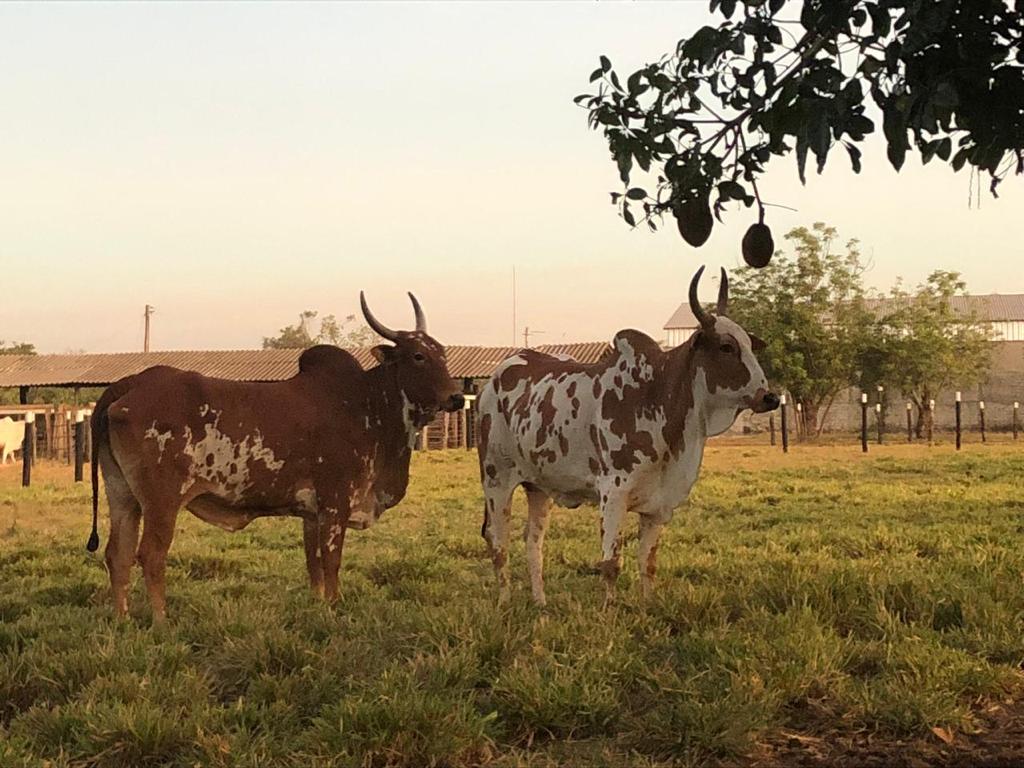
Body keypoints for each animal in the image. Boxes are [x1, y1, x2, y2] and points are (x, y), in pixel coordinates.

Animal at [88, 294, 464, 626]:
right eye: (418, 356)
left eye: (442, 353)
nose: (457, 397)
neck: (368, 405)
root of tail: (129, 384)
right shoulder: (336, 503)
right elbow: (332, 561)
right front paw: (335, 609)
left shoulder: (312, 512)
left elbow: (313, 565)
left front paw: (318, 607)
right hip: (161, 500)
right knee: (150, 555)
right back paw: (161, 622)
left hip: (122, 495)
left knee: (117, 554)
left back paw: (122, 620)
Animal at [477, 268, 774, 606]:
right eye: (726, 346)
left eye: (749, 344)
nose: (769, 397)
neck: (658, 397)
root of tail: (492, 382)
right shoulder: (613, 494)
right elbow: (611, 563)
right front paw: (609, 610)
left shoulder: (659, 507)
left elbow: (648, 562)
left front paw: (648, 606)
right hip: (496, 480)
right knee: (498, 542)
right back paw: (504, 602)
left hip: (538, 487)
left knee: (533, 541)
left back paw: (540, 602)